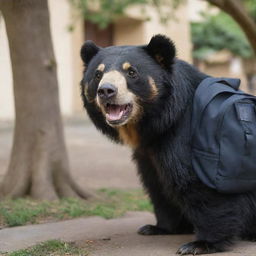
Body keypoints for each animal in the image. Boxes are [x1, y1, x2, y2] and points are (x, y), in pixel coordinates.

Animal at [80, 35, 256, 255]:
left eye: (132, 72)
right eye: (98, 74)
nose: (106, 91)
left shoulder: (186, 138)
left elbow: (199, 187)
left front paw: (200, 244)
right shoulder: (149, 152)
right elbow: (157, 184)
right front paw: (158, 227)